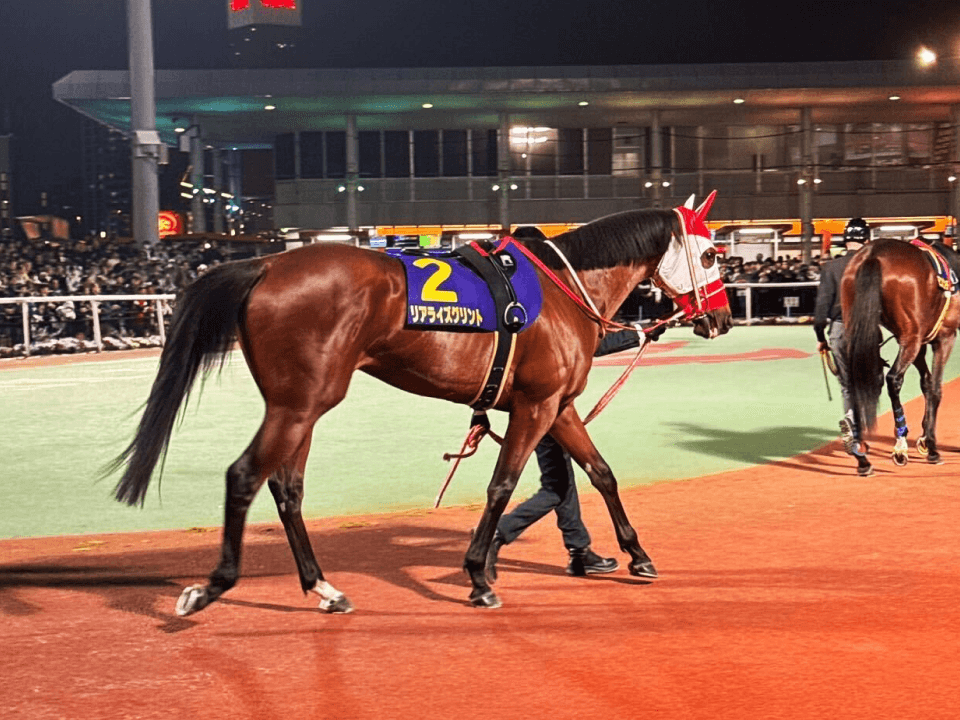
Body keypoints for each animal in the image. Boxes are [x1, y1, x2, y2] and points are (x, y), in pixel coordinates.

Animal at [107, 193, 733, 614]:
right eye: (709, 257)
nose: (723, 320)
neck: (563, 287)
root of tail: (266, 264)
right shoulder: (535, 406)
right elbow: (502, 486)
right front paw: (479, 575)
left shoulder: (559, 405)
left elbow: (600, 473)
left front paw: (635, 554)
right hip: (300, 404)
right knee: (244, 476)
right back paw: (212, 586)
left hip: (298, 404)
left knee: (286, 488)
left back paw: (323, 587)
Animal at [841, 237, 960, 476]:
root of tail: (872, 254)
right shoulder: (944, 337)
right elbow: (935, 388)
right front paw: (931, 446)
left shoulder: (920, 342)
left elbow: (926, 383)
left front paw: (924, 438)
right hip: (911, 338)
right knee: (894, 379)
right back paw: (900, 445)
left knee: (856, 382)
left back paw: (861, 455)